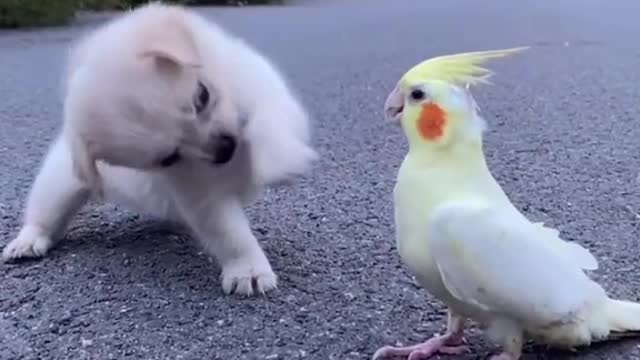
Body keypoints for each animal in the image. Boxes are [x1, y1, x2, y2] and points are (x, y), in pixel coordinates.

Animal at [1, 2, 318, 296]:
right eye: (169, 158)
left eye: (202, 96)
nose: (226, 150)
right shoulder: (200, 194)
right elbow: (230, 234)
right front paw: (247, 270)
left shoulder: (264, 88)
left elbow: (267, 121)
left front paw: (282, 163)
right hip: (58, 186)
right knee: (43, 215)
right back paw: (27, 242)